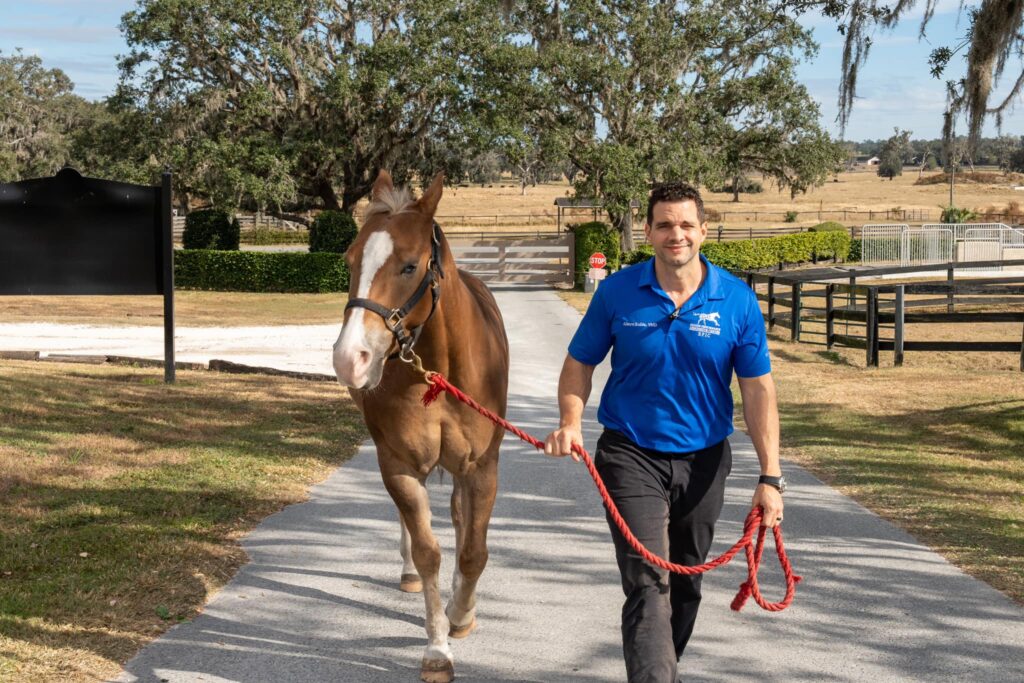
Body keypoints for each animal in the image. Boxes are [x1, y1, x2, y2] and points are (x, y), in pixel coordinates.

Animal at [332, 170, 510, 682]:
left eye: (410, 266)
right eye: (350, 260)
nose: (350, 358)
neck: (438, 371)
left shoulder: (481, 467)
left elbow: (473, 549)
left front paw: (461, 614)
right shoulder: (399, 464)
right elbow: (428, 548)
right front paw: (437, 647)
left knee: (459, 520)